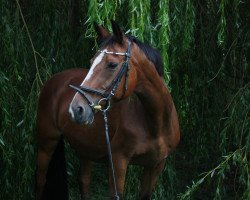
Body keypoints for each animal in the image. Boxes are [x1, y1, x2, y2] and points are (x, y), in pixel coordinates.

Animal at [35, 20, 180, 200]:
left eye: (112, 64)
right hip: (46, 142)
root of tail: (54, 79)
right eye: (91, 62)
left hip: (85, 148)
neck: (155, 123)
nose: (76, 109)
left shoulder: (155, 165)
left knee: (84, 181)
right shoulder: (118, 163)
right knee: (41, 181)